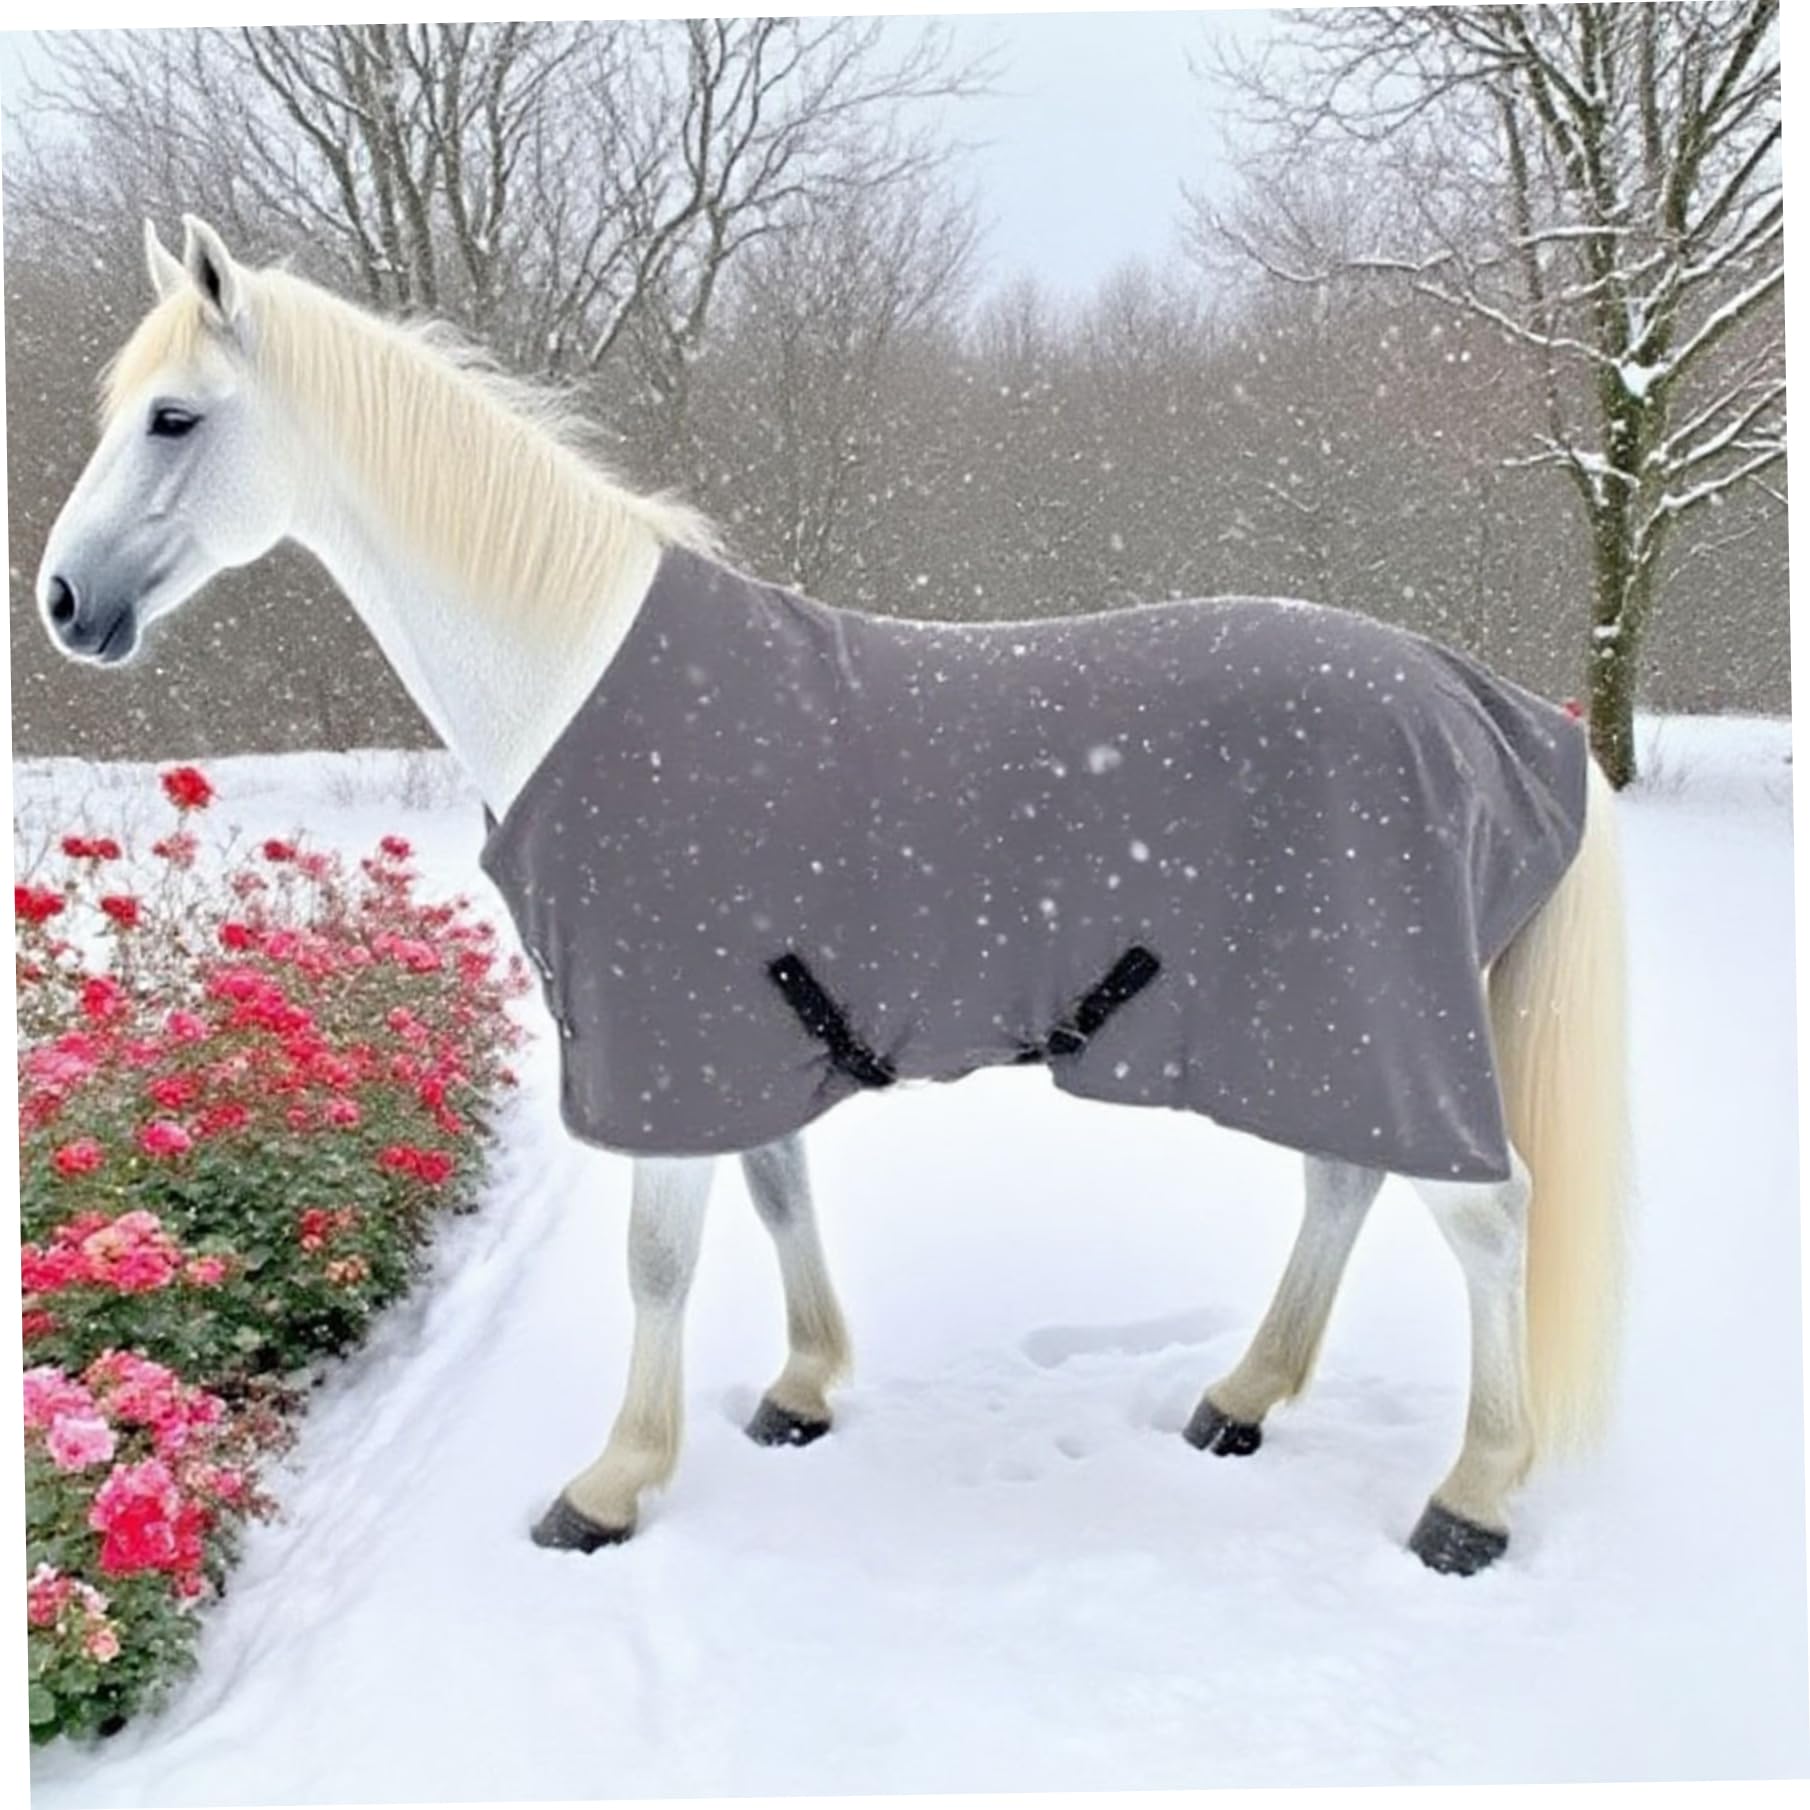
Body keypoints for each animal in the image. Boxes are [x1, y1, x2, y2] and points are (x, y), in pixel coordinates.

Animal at [35, 216, 1628, 1578]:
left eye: (172, 417)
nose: (59, 603)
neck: (580, 675)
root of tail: (1482, 704)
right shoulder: (741, 1038)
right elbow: (779, 1194)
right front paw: (798, 1393)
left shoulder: (664, 1040)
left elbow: (659, 1261)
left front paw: (607, 1486)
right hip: (1316, 1030)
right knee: (1346, 1182)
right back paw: (1240, 1397)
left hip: (1370, 1016)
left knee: (1488, 1217)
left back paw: (1470, 1500)